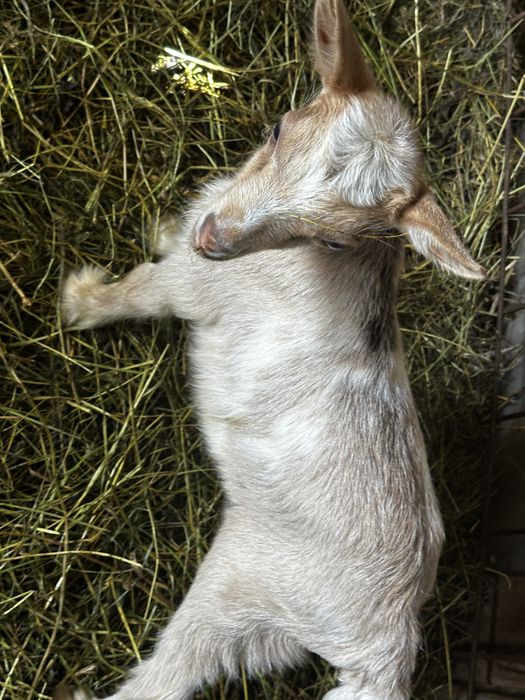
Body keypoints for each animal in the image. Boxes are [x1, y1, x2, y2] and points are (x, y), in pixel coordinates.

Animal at [59, 1, 485, 698]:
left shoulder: (194, 285)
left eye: (334, 238)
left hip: (240, 588)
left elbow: (138, 290)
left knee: (169, 675)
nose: (214, 237)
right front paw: (165, 226)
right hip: (270, 635)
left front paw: (79, 300)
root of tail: (390, 643)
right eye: (279, 128)